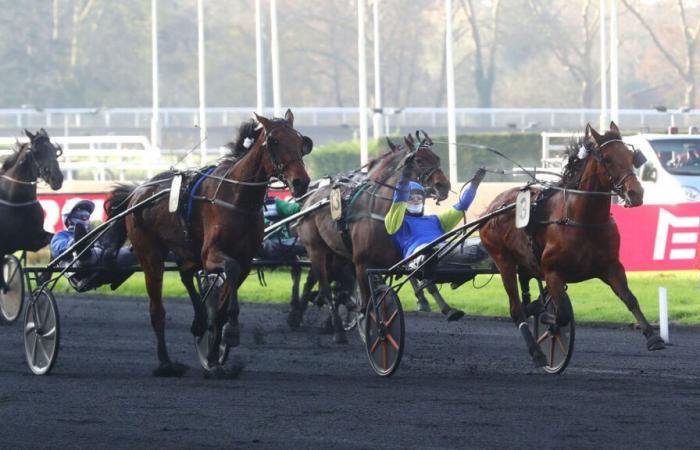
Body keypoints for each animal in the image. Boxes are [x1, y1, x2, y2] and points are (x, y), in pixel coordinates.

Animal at [0, 129, 63, 292]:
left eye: (55, 151)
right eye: (37, 152)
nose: (57, 178)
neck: (16, 200)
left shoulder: (30, 240)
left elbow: (52, 238)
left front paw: (44, 277)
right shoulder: (6, 244)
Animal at [107, 110, 312, 378]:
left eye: (300, 141)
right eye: (274, 141)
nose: (301, 182)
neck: (237, 198)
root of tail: (136, 193)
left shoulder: (246, 258)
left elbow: (225, 297)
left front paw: (215, 350)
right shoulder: (211, 254)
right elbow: (230, 271)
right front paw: (229, 332)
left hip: (186, 250)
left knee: (186, 274)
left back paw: (199, 323)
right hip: (150, 255)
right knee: (157, 310)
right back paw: (166, 363)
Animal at [294, 132, 452, 342]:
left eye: (437, 158)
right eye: (418, 160)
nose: (444, 186)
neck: (383, 213)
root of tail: (309, 199)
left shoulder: (394, 258)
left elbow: (419, 279)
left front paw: (442, 307)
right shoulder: (362, 263)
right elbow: (368, 300)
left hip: (338, 255)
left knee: (331, 284)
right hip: (316, 250)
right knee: (326, 287)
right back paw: (337, 330)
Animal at [478, 121, 664, 368]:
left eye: (631, 156)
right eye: (607, 159)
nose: (636, 193)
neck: (583, 220)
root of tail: (491, 208)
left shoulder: (611, 266)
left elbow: (630, 298)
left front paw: (653, 337)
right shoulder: (552, 272)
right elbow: (563, 314)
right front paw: (548, 320)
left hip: (525, 263)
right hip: (503, 260)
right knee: (516, 309)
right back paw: (537, 352)